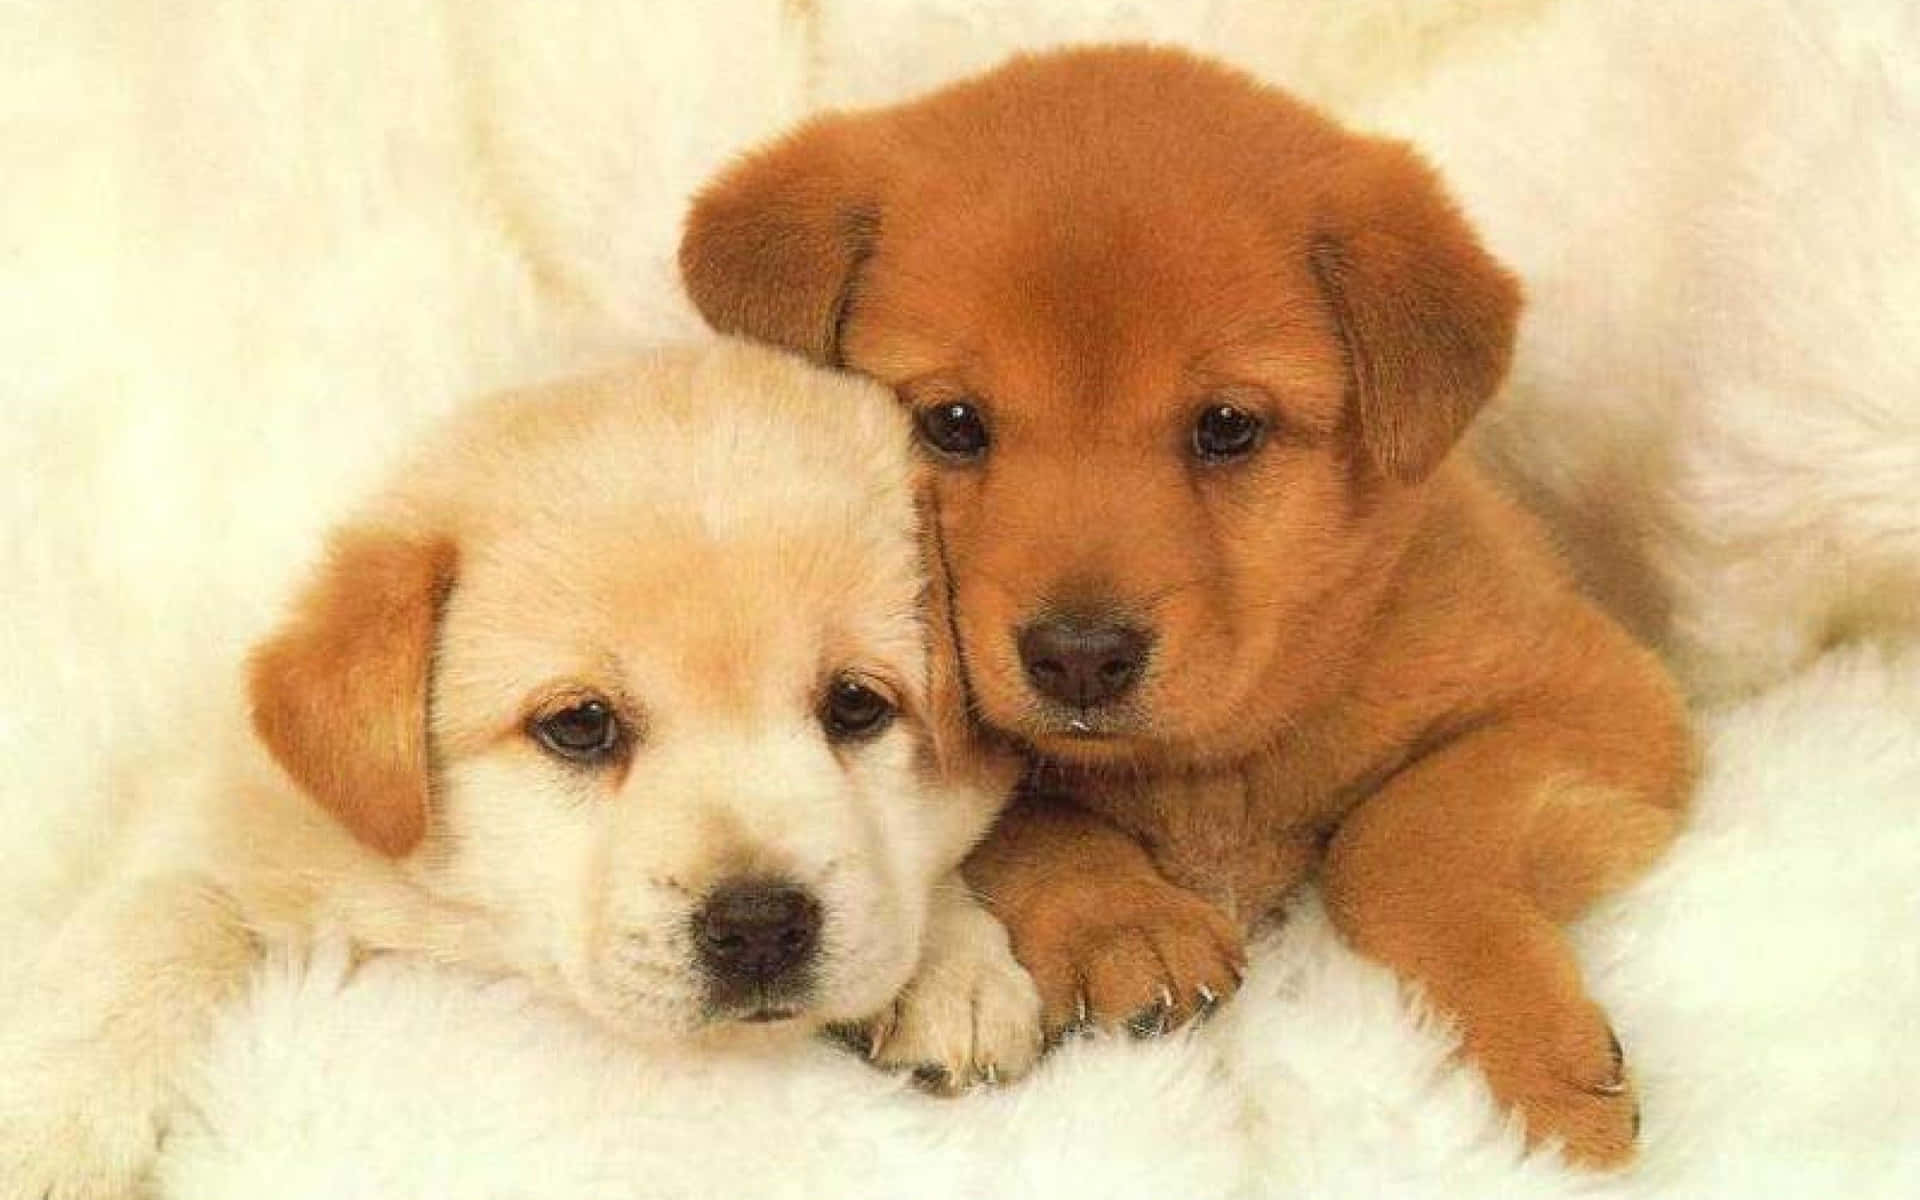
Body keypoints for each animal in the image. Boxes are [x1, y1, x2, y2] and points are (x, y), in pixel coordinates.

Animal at [0, 339, 1036, 1198]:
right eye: (579, 725)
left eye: (856, 706)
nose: (759, 927)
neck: (472, 930)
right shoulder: (216, 825)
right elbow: (148, 932)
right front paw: (52, 1129)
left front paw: (954, 967)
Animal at [679, 46, 1697, 1159]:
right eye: (949, 422)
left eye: (1226, 428)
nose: (1079, 656)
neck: (1212, 770)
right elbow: (1031, 815)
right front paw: (1120, 920)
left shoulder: (1598, 698)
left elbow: (1404, 835)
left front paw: (1538, 1077)